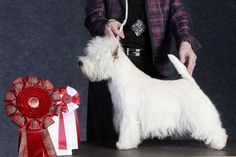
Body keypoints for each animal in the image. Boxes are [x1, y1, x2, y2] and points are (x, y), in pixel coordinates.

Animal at [78, 36, 228, 150]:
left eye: (96, 57)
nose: (80, 62)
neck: (120, 78)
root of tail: (190, 82)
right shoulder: (121, 112)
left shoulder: (128, 114)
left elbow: (127, 129)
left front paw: (123, 144)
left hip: (200, 114)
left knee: (214, 128)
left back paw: (220, 143)